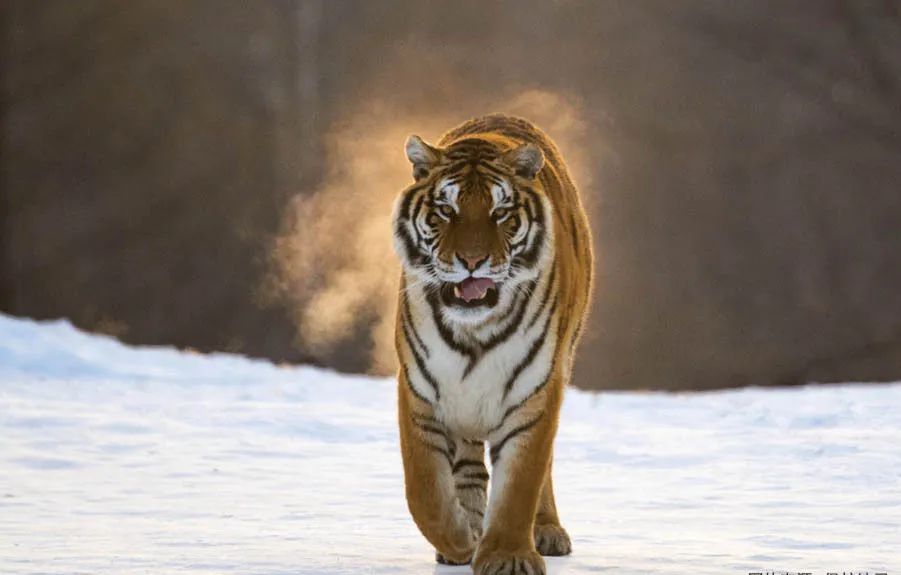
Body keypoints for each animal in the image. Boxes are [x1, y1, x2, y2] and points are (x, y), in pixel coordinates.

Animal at [392, 114, 594, 575]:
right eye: (446, 210)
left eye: (500, 213)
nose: (472, 262)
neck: (474, 334)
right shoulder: (420, 392)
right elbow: (424, 492)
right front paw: (461, 540)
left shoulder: (534, 393)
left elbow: (520, 485)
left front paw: (507, 556)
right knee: (466, 467)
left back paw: (547, 531)